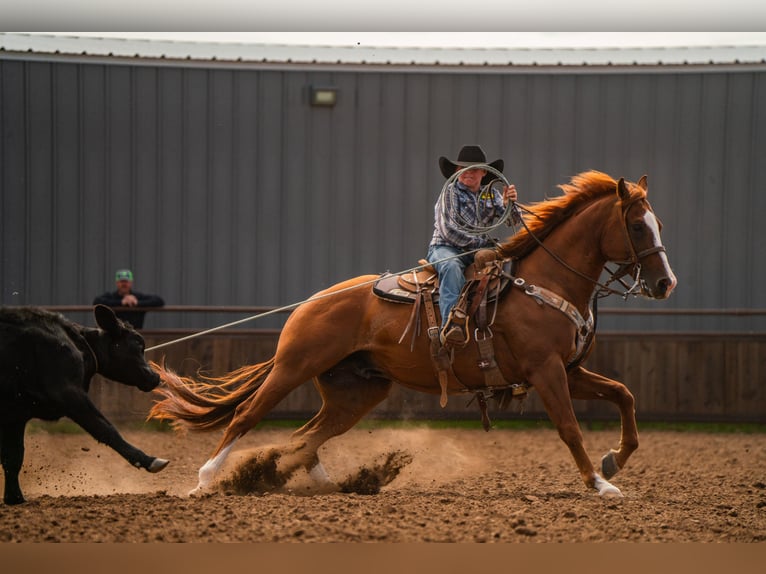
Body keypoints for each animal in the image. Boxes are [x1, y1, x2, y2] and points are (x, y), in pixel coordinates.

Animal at [0, 304, 169, 505]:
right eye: (138, 345)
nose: (155, 377)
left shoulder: (15, 416)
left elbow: (13, 456)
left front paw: (14, 498)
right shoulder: (69, 394)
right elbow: (105, 429)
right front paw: (150, 460)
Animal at [149, 170, 676, 498]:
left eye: (658, 223)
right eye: (636, 225)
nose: (665, 283)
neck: (544, 280)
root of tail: (310, 304)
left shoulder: (569, 369)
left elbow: (624, 394)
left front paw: (613, 461)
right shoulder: (546, 371)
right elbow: (569, 427)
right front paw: (600, 484)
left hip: (356, 391)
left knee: (307, 435)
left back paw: (312, 481)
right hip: (294, 367)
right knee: (246, 416)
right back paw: (205, 480)